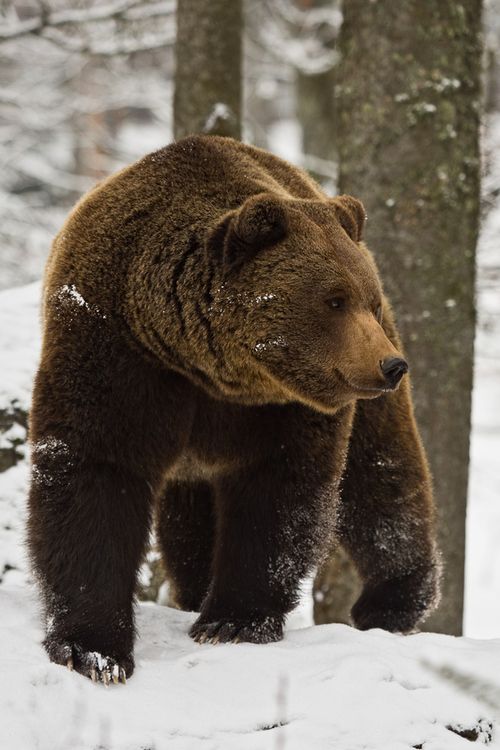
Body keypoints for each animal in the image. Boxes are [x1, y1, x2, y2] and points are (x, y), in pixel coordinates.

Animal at [28, 135, 442, 688]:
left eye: (368, 300)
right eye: (334, 299)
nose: (391, 365)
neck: (206, 363)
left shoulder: (282, 406)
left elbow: (279, 493)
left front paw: (232, 621)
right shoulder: (117, 352)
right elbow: (95, 474)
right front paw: (92, 650)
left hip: (368, 405)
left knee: (383, 476)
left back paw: (393, 602)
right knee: (191, 525)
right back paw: (194, 591)